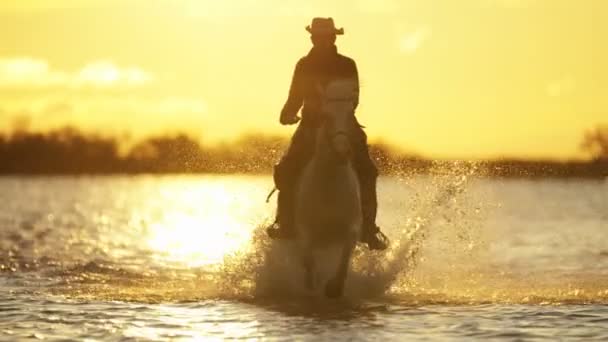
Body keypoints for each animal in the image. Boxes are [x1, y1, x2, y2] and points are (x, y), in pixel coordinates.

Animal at [294, 79, 360, 298]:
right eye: (325, 115)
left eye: (351, 114)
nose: (342, 152)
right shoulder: (304, 229)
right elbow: (307, 257)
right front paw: (312, 283)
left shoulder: (352, 226)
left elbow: (346, 251)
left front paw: (334, 286)